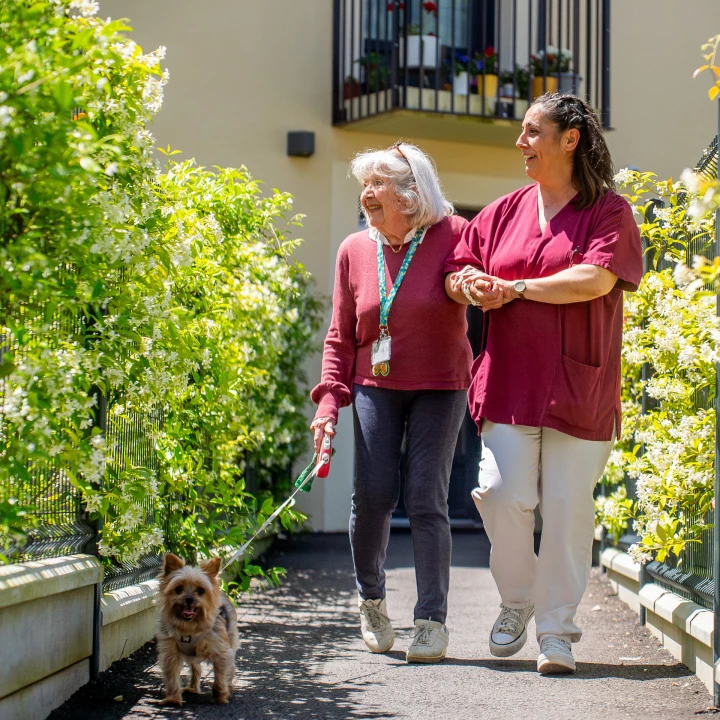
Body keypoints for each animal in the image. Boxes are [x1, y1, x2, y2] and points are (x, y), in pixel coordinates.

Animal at [157, 556, 240, 704]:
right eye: (178, 589)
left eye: (201, 591)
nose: (189, 599)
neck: (189, 626)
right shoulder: (169, 652)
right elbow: (171, 675)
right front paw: (172, 699)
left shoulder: (221, 651)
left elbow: (221, 675)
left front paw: (220, 697)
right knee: (196, 668)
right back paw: (192, 688)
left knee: (230, 667)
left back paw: (229, 687)